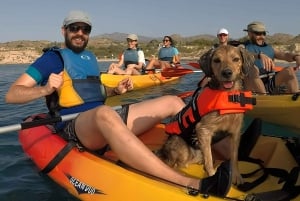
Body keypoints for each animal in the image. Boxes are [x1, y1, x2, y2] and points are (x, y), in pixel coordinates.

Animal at [157, 46, 255, 185]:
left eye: (236, 59)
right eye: (216, 60)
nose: (227, 73)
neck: (227, 95)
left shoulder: (235, 132)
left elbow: (234, 157)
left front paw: (236, 176)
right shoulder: (203, 130)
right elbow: (209, 159)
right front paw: (213, 176)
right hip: (180, 146)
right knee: (176, 164)